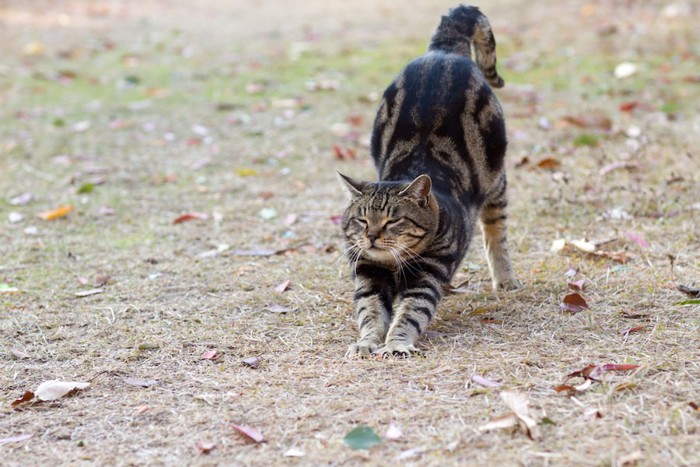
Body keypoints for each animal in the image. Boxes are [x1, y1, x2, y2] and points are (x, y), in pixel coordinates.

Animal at [336, 4, 524, 358]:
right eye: (362, 220)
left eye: (393, 220)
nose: (371, 237)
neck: (394, 263)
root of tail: (443, 51)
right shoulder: (368, 273)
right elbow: (369, 313)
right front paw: (366, 343)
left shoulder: (430, 273)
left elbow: (411, 313)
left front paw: (396, 345)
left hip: (496, 182)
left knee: (496, 232)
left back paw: (505, 278)